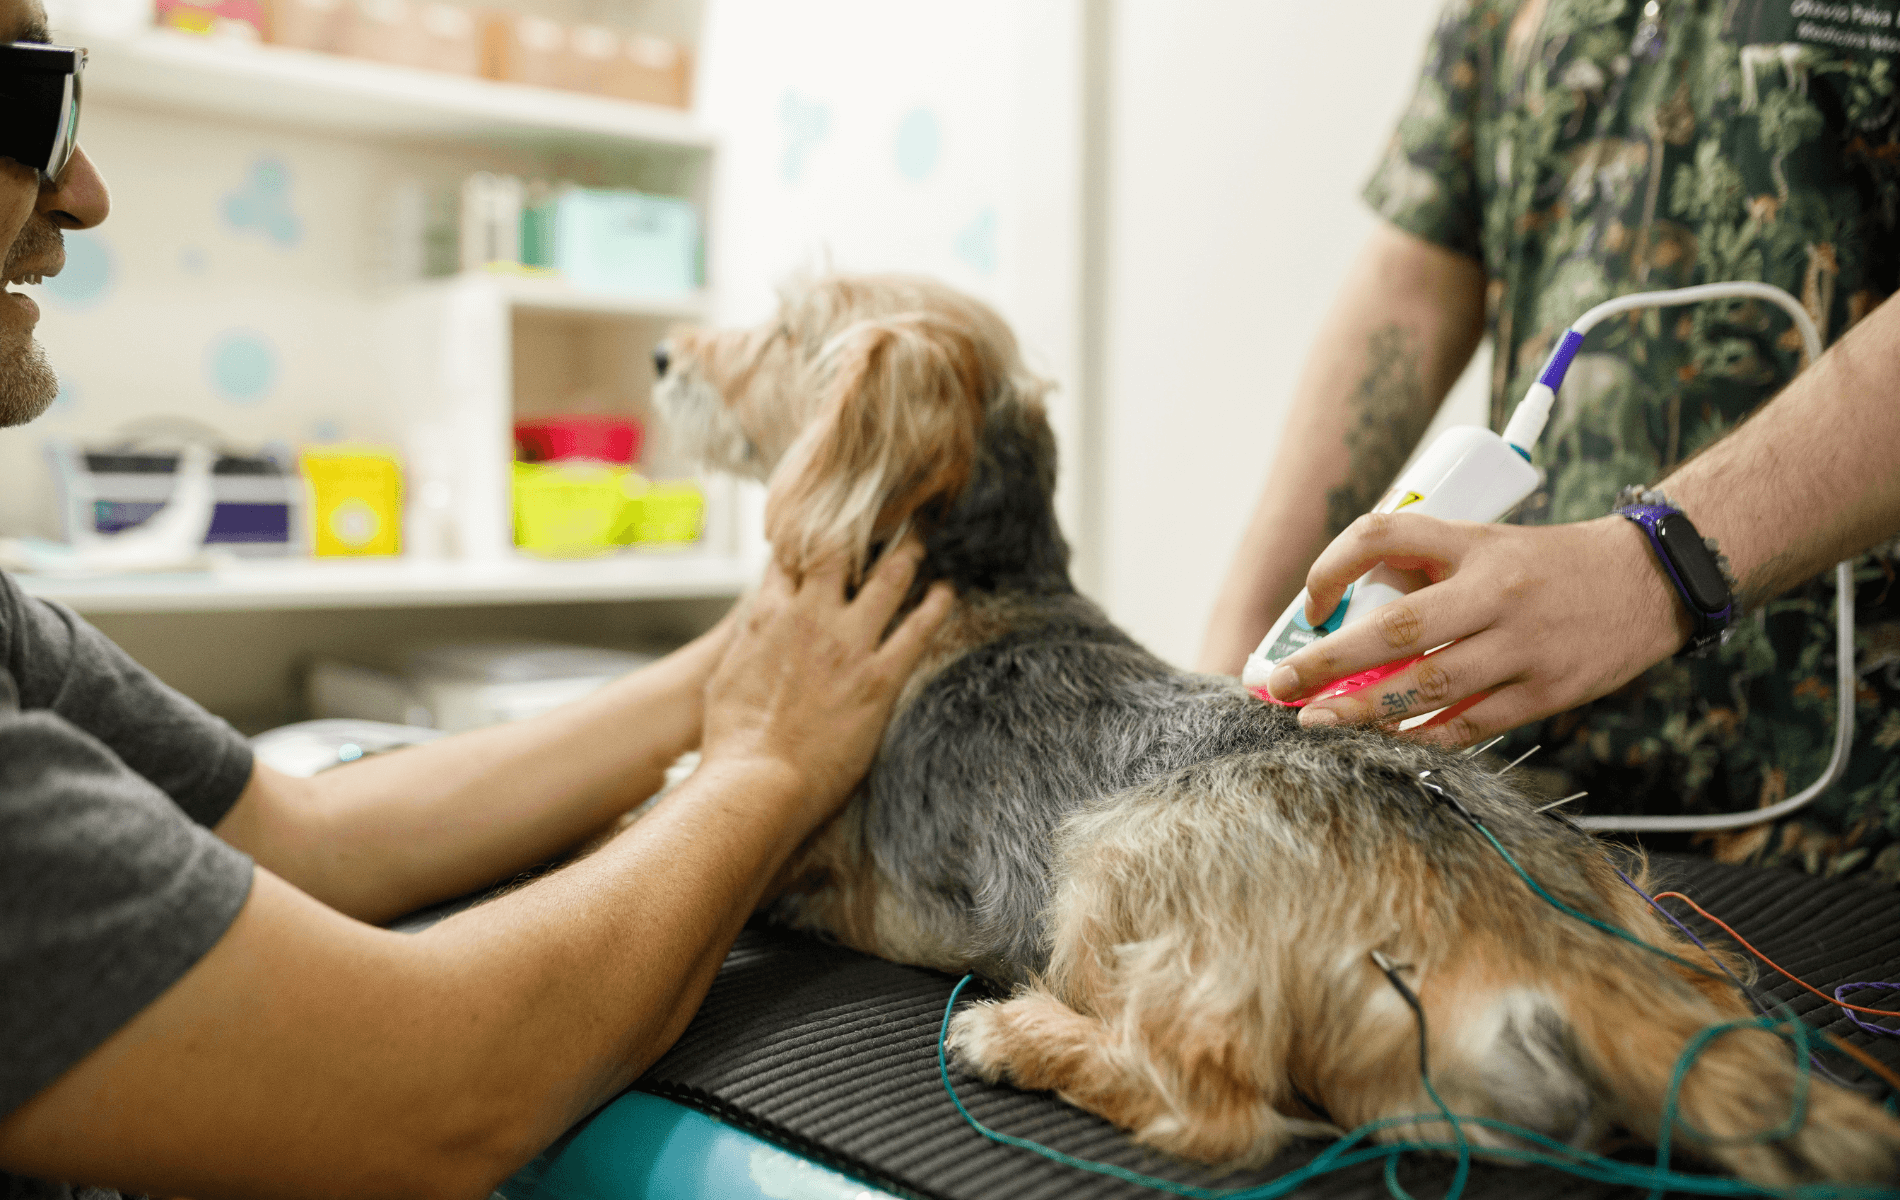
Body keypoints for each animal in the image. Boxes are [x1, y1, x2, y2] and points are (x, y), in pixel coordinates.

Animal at [653, 277, 1900, 1184]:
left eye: (781, 329)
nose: (662, 357)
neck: (986, 575)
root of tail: (1545, 939)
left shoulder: (810, 851)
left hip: (1111, 862)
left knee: (1215, 1111)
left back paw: (1017, 1039)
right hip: (1656, 930)